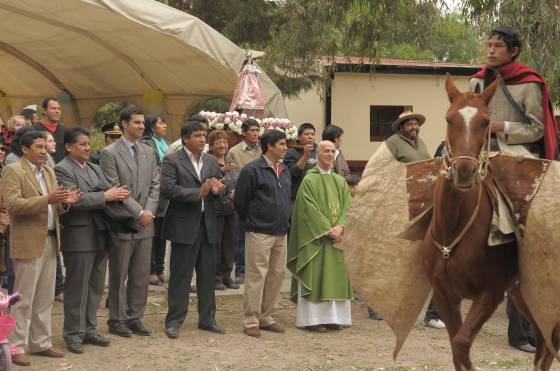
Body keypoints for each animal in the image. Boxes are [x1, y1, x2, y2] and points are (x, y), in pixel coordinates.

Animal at [424, 76, 560, 371]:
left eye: (486, 122)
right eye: (449, 118)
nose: (464, 171)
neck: (455, 227)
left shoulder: (491, 293)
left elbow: (462, 344)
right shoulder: (444, 295)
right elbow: (458, 351)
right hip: (526, 294)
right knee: (545, 343)